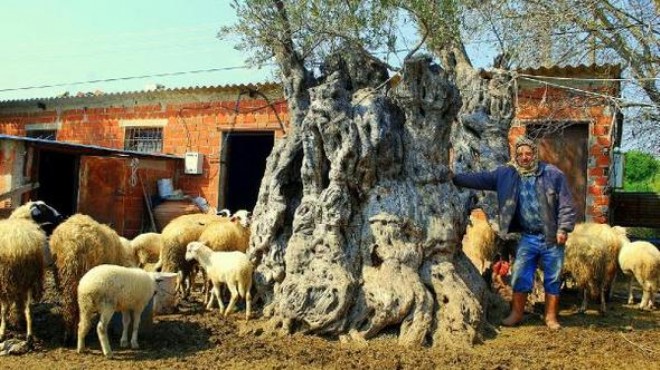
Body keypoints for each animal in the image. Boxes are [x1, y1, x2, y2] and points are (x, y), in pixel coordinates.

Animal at [49, 212, 137, 346]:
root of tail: (73, 247)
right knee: (76, 306)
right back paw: (73, 335)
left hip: (64, 276)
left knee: (69, 305)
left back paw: (67, 335)